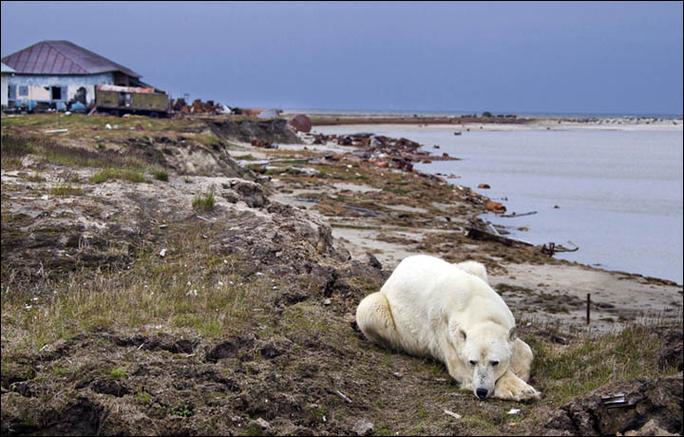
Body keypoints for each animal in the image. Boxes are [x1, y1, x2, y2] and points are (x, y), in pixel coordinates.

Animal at [358, 254, 540, 400]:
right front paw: (520, 390)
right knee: (369, 310)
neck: (474, 299)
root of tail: (395, 272)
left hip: (471, 268)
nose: (481, 391)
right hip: (382, 308)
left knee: (476, 265)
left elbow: (526, 350)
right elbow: (458, 368)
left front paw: (521, 371)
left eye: (495, 362)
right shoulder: (444, 327)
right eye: (472, 361)